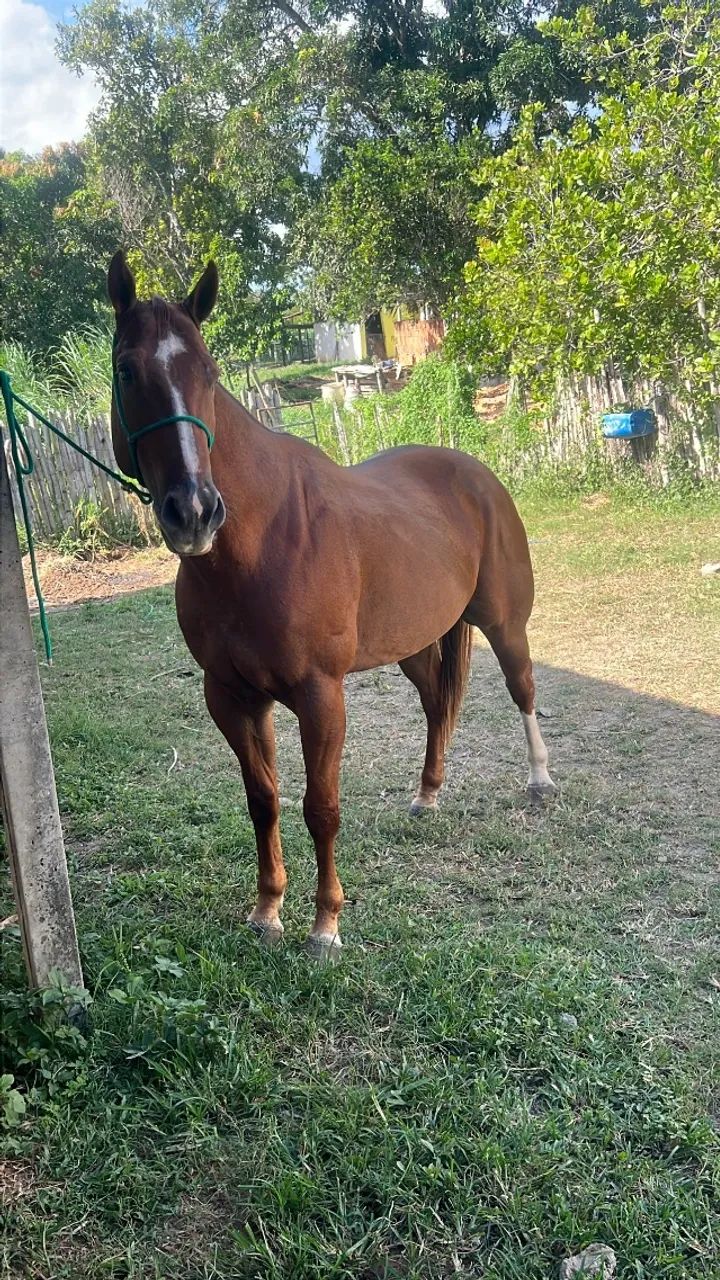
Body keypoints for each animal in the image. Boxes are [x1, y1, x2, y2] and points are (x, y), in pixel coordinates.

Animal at [107, 251, 555, 960]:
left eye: (207, 372)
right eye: (127, 369)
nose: (195, 511)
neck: (260, 542)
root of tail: (476, 472)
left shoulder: (321, 696)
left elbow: (321, 807)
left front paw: (325, 924)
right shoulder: (231, 697)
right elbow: (263, 800)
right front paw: (268, 910)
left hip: (505, 623)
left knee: (523, 688)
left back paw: (539, 780)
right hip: (413, 644)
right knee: (437, 704)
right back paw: (427, 796)